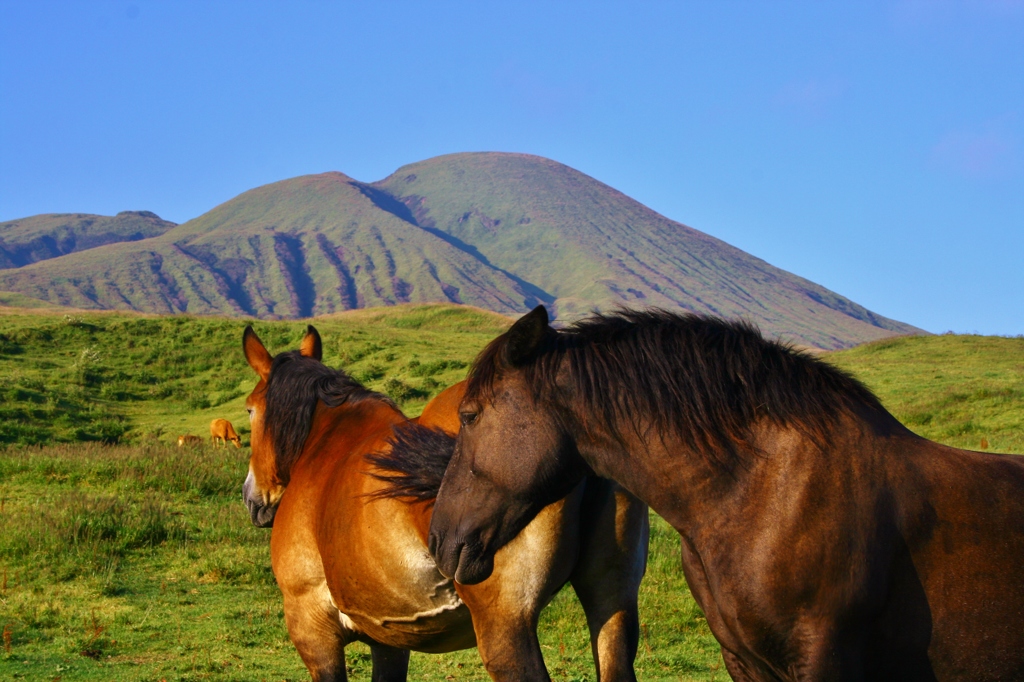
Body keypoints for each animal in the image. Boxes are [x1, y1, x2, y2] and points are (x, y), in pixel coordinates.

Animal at [239, 323, 647, 679]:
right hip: (612, 601)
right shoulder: (389, 639)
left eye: (250, 409)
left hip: (506, 628)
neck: (326, 441)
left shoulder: (312, 627)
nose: (250, 496)